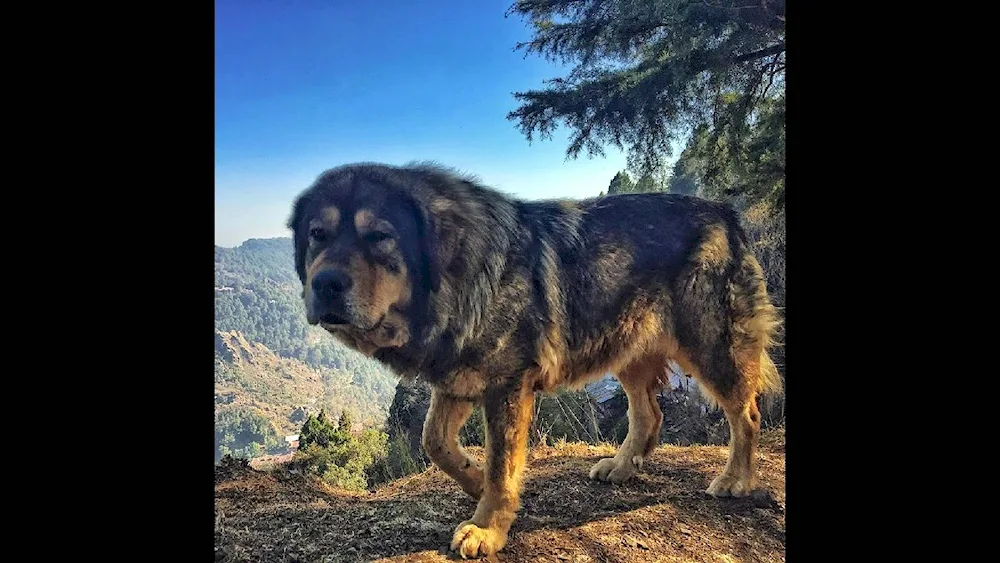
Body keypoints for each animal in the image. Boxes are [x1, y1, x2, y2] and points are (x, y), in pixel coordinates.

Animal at [286, 162, 784, 560]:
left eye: (380, 237)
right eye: (317, 236)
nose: (325, 283)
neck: (461, 273)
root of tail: (724, 213)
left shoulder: (507, 383)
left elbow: (500, 463)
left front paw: (487, 526)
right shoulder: (459, 375)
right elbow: (435, 442)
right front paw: (473, 481)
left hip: (711, 345)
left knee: (747, 413)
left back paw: (735, 479)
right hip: (624, 342)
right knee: (650, 413)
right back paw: (623, 465)